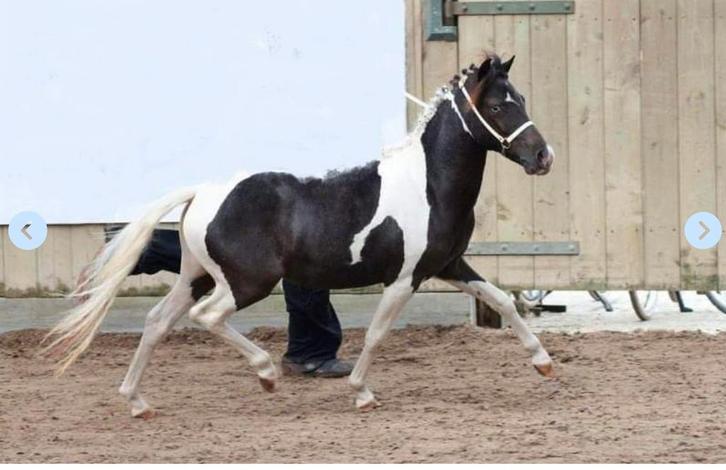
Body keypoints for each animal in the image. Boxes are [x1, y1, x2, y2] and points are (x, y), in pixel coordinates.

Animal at [43, 54, 556, 418]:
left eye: (523, 99)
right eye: (496, 106)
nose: (542, 157)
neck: (428, 185)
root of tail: (203, 194)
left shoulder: (447, 265)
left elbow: (503, 301)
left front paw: (544, 362)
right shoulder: (404, 277)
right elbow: (376, 333)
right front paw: (362, 393)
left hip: (196, 277)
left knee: (156, 322)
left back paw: (137, 402)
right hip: (247, 283)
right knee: (207, 318)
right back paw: (267, 374)